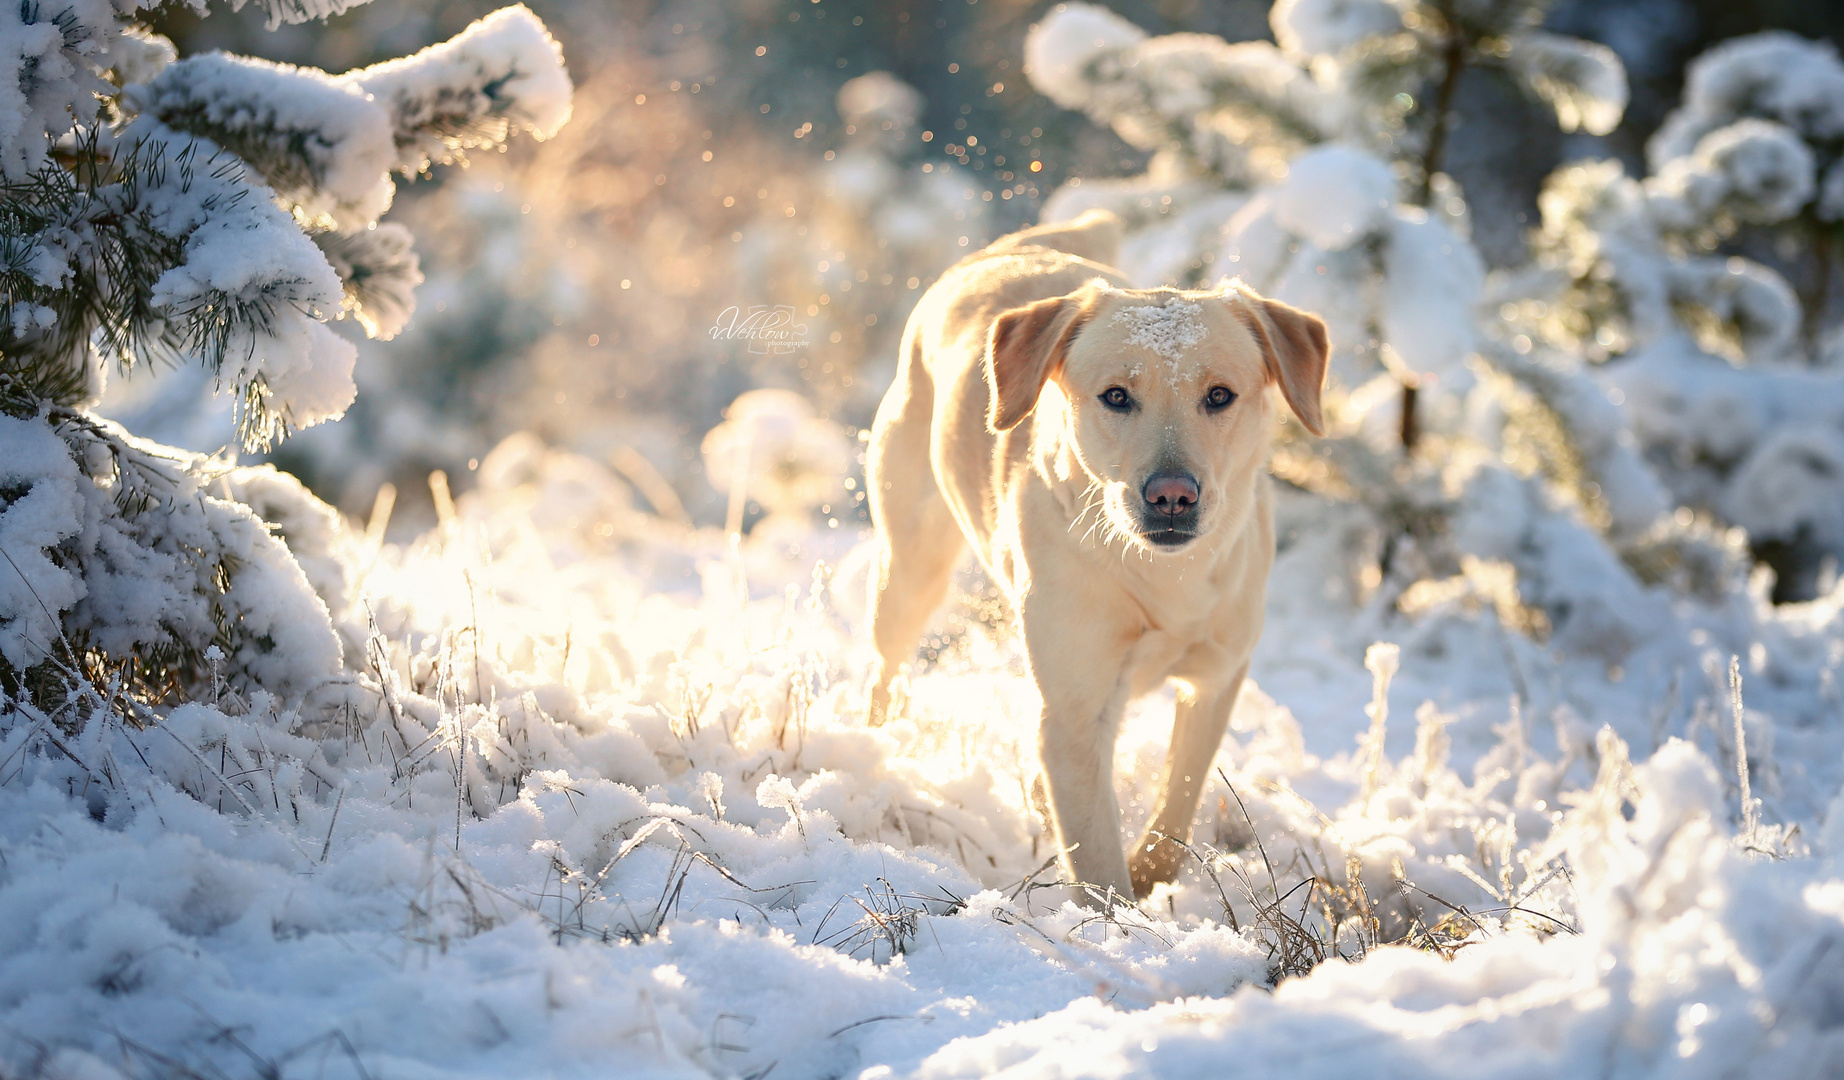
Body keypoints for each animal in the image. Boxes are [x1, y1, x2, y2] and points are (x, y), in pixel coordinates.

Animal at [862, 210, 1327, 899]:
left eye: (1219, 395)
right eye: (1116, 396)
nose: (1171, 496)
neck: (1166, 577)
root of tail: (1010, 249)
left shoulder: (1217, 676)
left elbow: (1179, 799)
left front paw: (1151, 875)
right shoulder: (1073, 710)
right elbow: (1098, 860)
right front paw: (1118, 918)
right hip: (911, 566)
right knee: (884, 669)